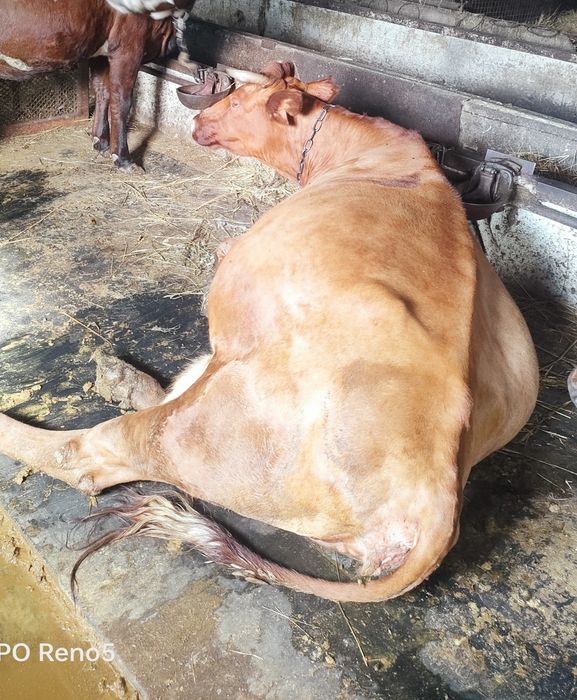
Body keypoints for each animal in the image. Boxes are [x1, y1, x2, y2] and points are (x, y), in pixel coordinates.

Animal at [0, 0, 191, 170]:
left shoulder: (100, 49)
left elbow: (102, 90)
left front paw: (100, 140)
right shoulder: (128, 46)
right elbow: (121, 101)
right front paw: (123, 159)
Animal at [0, 62, 539, 602]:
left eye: (239, 102)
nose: (201, 121)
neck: (362, 148)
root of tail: (438, 497)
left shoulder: (233, 266)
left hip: (201, 432)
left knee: (88, 451)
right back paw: (121, 378)